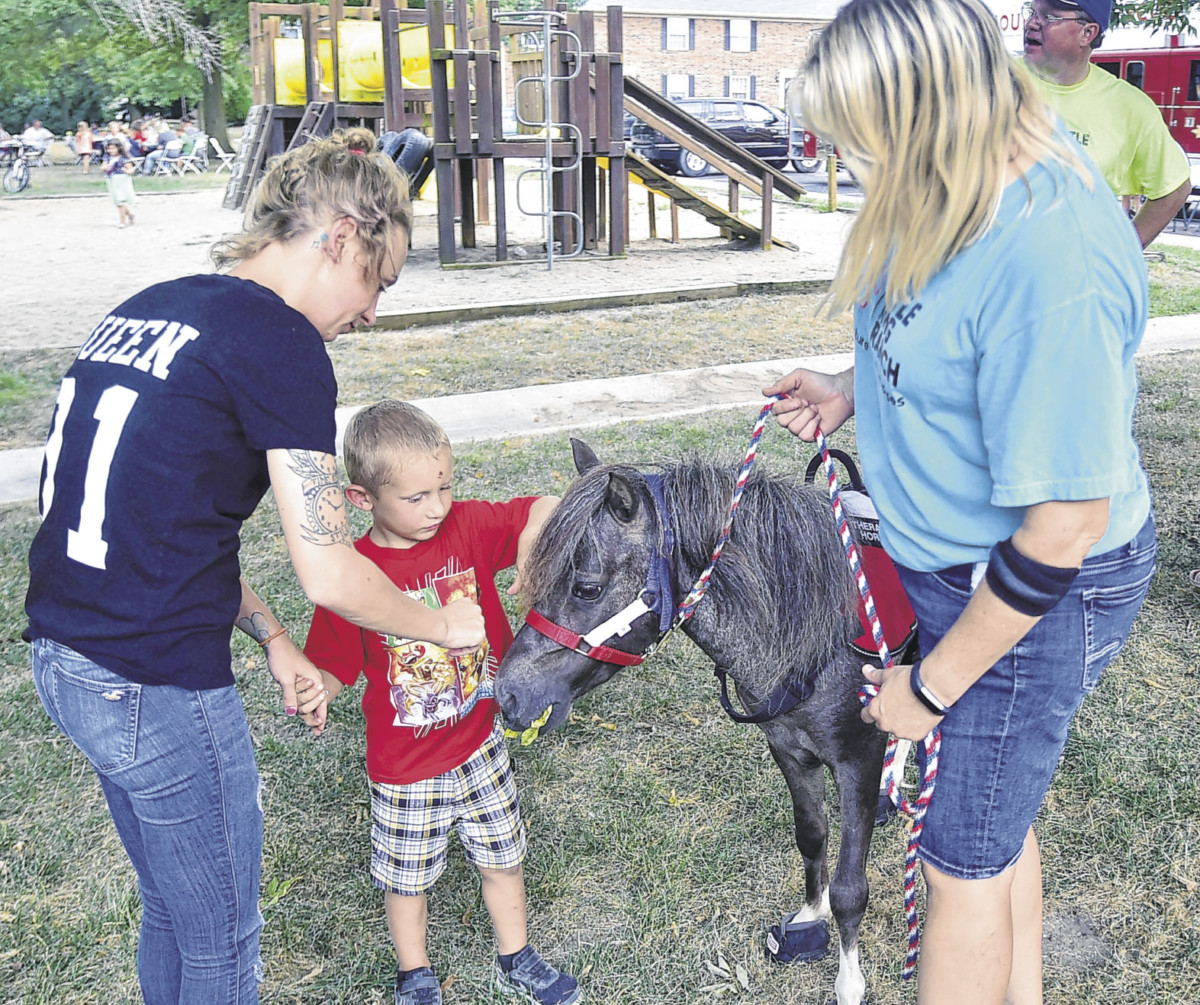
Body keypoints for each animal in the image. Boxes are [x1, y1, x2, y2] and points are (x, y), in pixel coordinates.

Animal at [492, 443, 888, 1005]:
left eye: (587, 588)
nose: (507, 693)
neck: (818, 631)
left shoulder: (858, 760)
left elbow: (850, 891)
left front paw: (849, 981)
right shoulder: (789, 749)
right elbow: (811, 836)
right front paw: (809, 919)